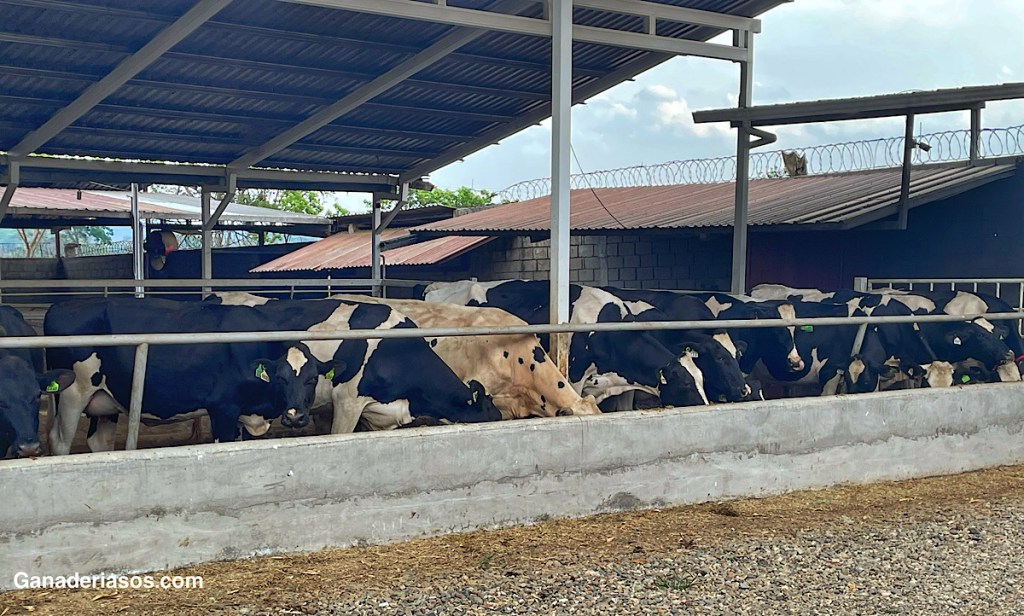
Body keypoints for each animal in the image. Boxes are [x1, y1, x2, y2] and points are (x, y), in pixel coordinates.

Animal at [44, 298, 334, 454]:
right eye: (281, 378)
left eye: (312, 379)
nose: (295, 417)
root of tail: (61, 306)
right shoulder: (223, 409)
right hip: (73, 395)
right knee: (60, 442)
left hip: (106, 399)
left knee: (99, 441)